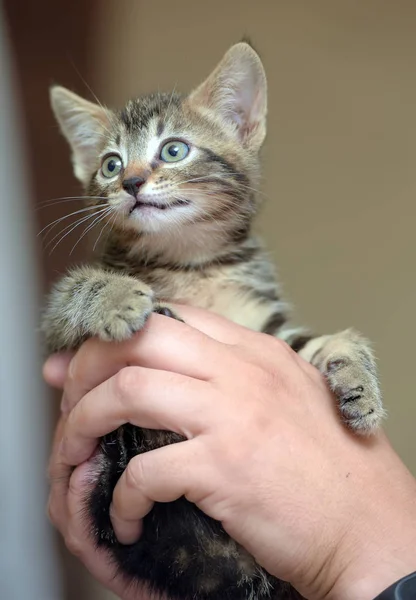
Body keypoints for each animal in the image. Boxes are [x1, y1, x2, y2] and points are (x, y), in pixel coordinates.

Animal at [44, 43, 386, 600]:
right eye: (110, 165)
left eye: (173, 150)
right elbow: (78, 289)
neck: (192, 264)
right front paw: (120, 301)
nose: (131, 182)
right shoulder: (56, 327)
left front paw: (360, 384)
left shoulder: (266, 327)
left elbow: (323, 341)